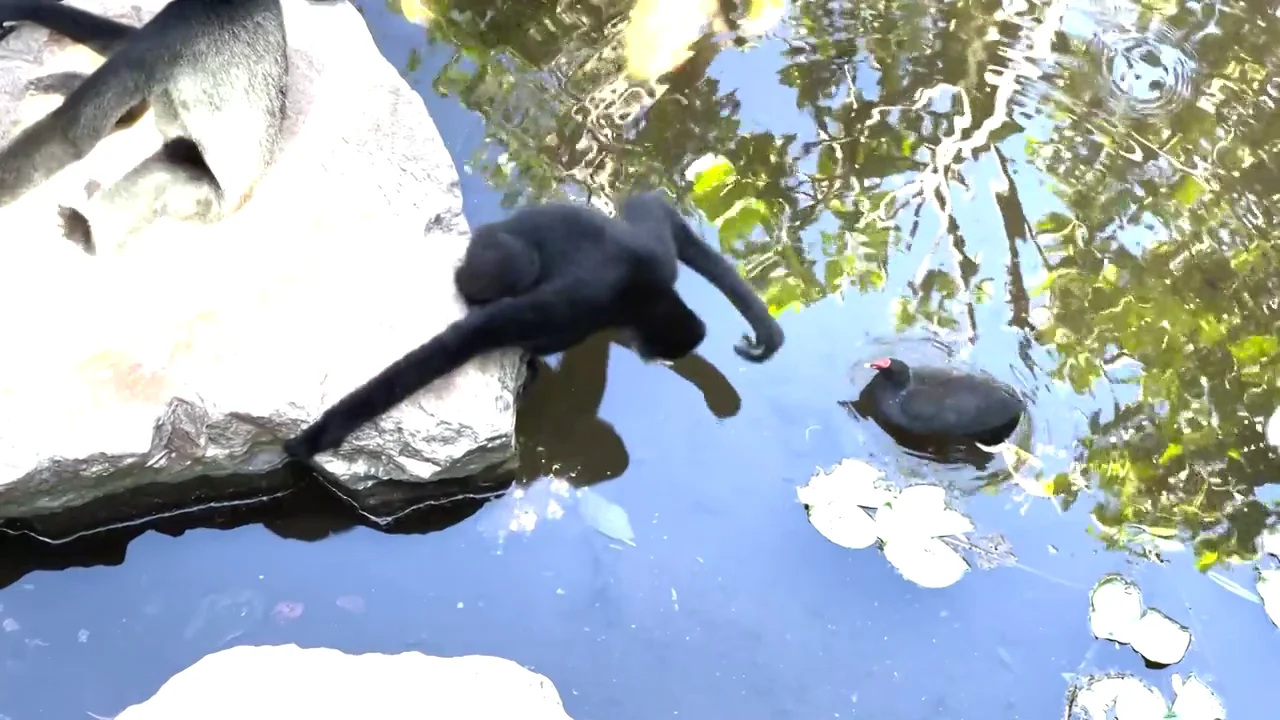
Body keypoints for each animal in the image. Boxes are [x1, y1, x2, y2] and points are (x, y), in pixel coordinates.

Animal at [0, 0, 288, 254]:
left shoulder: (183, 21)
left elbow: (71, 134)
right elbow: (123, 39)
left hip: (206, 204)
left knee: (171, 165)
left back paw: (89, 239)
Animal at [282, 191, 784, 461]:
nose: (655, 359)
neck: (637, 290)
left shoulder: (656, 258)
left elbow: (653, 204)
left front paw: (764, 334)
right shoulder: (581, 303)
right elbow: (472, 335)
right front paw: (315, 437)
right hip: (494, 254)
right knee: (515, 266)